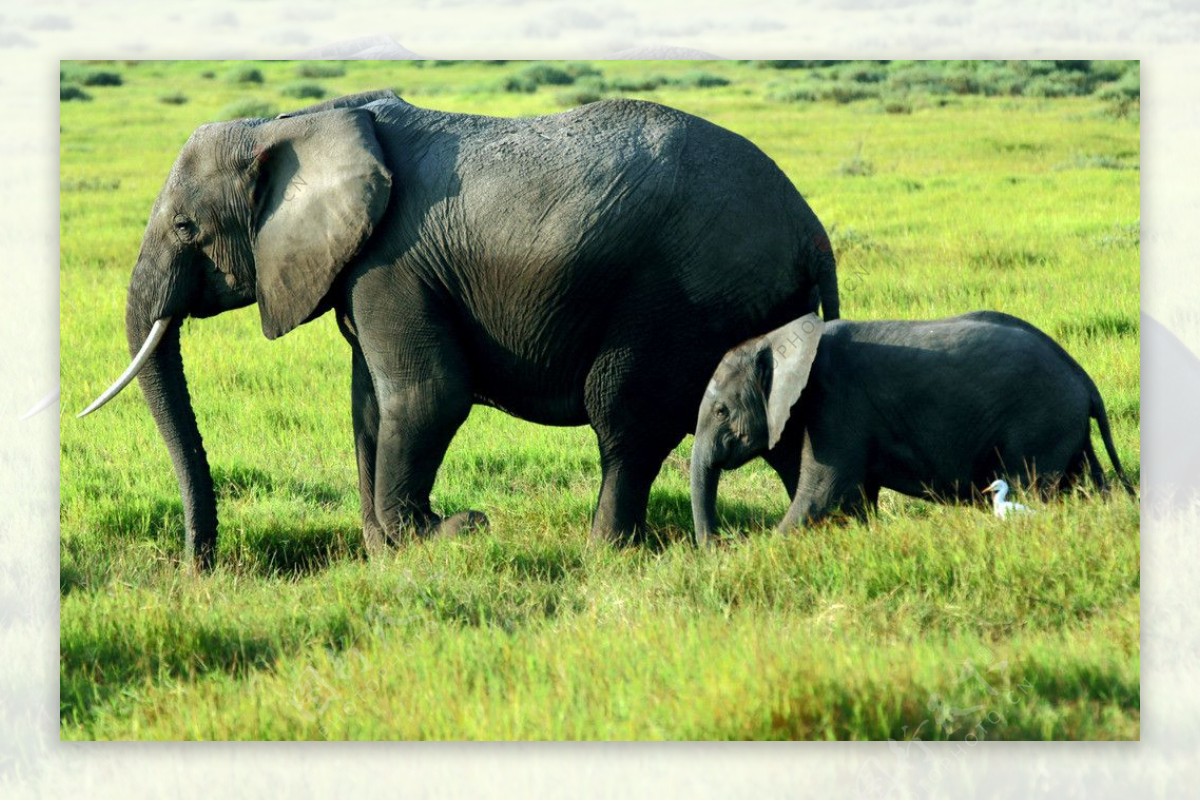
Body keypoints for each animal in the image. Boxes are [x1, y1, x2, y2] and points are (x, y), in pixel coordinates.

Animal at [84, 89, 840, 568]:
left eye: (188, 228)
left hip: (680, 301)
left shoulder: (390, 265)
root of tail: (810, 230)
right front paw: (383, 556)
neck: (297, 121)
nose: (197, 566)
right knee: (778, 428)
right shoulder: (363, 270)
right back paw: (809, 537)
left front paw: (452, 533)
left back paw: (604, 554)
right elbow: (369, 404)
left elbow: (426, 396)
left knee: (625, 420)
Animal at [696, 309, 1132, 546]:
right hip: (1064, 428)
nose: (717, 546)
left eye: (720, 412)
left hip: (1039, 423)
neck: (779, 339)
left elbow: (822, 491)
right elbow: (856, 498)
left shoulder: (837, 401)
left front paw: (761, 551)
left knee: (1031, 484)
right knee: (1083, 484)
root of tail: (1084, 379)